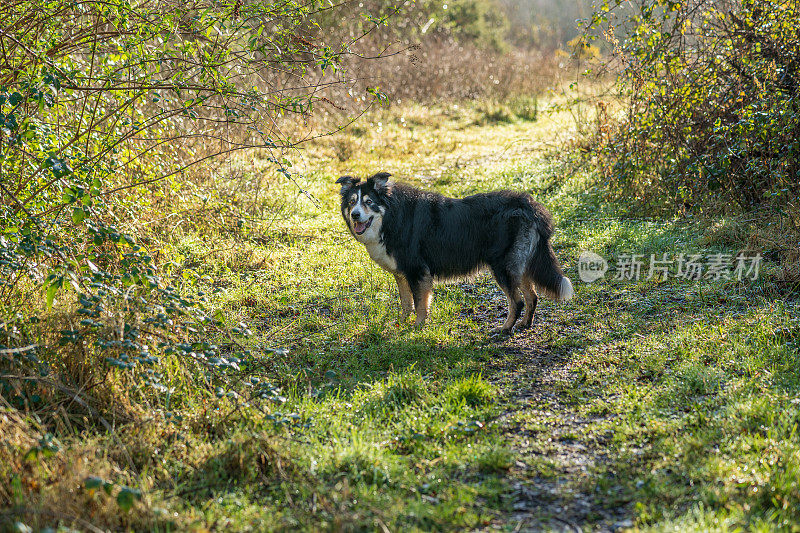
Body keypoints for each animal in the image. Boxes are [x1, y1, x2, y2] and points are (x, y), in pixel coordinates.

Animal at [334, 171, 572, 332]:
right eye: (352, 202)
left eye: (369, 202)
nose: (355, 215)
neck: (391, 216)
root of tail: (528, 205)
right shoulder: (401, 273)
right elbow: (406, 303)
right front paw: (401, 323)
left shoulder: (417, 271)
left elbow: (420, 303)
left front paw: (417, 326)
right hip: (518, 264)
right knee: (532, 296)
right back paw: (525, 324)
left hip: (502, 266)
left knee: (518, 301)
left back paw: (505, 328)